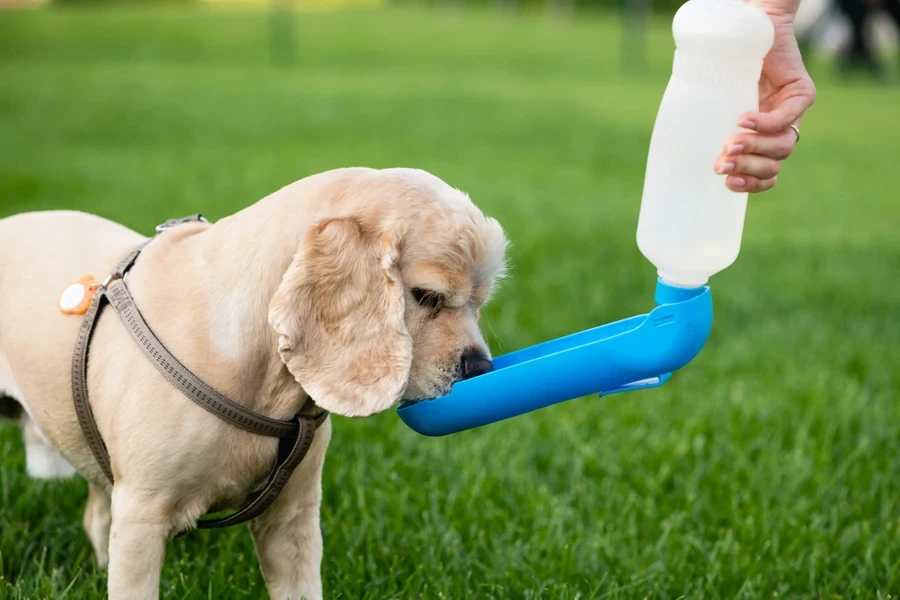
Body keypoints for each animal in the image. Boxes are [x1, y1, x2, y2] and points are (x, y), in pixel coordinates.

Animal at [0, 168, 506, 600]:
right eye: (426, 297)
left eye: (480, 302)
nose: (480, 368)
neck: (263, 376)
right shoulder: (141, 519)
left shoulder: (292, 520)